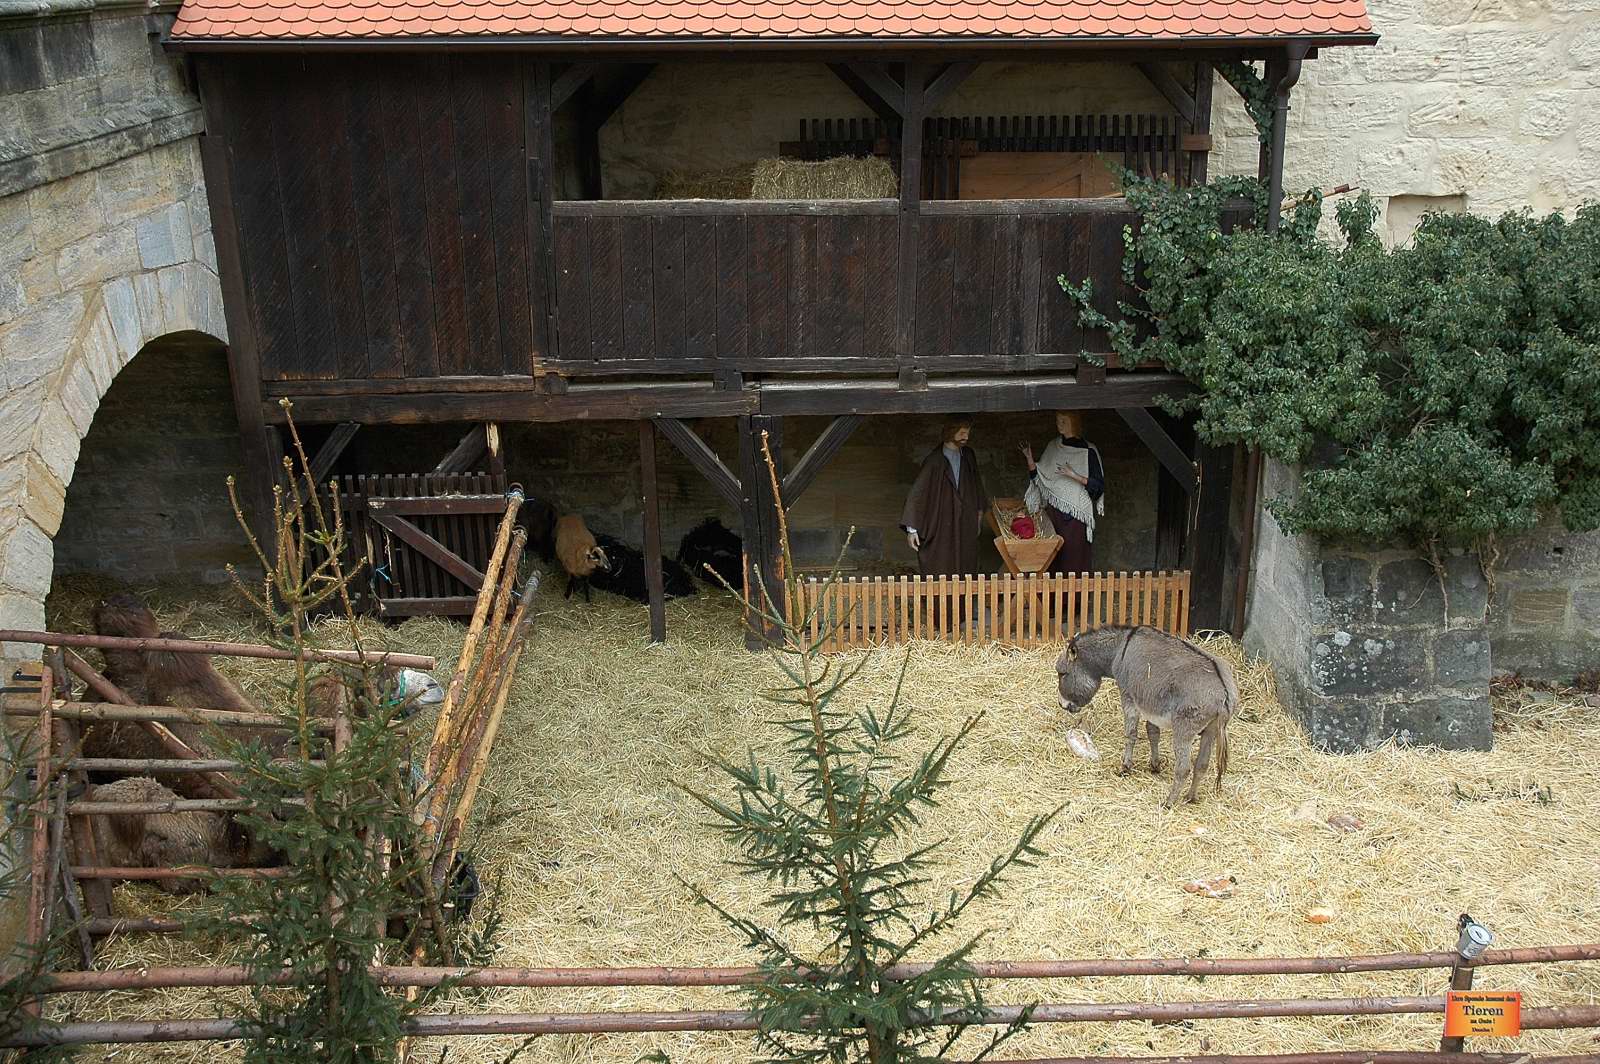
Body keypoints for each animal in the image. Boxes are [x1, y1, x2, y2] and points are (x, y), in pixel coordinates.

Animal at [1055, 625, 1237, 808]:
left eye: (1062, 673)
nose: (1061, 705)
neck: (1119, 649)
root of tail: (1224, 692)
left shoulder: (1128, 696)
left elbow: (1131, 734)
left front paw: (1126, 767)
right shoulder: (1151, 706)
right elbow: (1153, 733)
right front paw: (1155, 765)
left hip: (1184, 730)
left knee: (1183, 768)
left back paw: (1169, 802)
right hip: (1211, 731)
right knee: (1201, 765)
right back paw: (1190, 797)